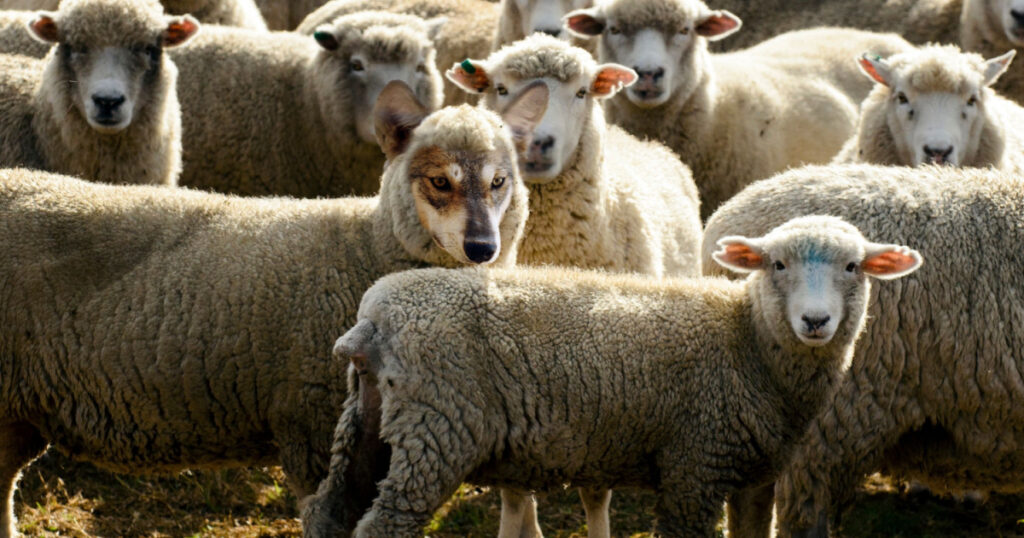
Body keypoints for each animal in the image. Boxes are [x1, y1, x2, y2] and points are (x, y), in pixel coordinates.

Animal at [0, 81, 546, 538]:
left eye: (500, 181)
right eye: (439, 181)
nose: (482, 247)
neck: (366, 247)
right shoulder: (314, 431)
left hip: (19, 410)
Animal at [299, 215, 922, 538]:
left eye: (852, 266)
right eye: (777, 264)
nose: (815, 321)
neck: (747, 341)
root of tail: (376, 314)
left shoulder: (755, 476)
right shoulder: (694, 465)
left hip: (370, 420)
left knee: (328, 510)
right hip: (436, 428)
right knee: (384, 525)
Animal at [447, 33, 701, 537]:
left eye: (582, 92)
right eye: (500, 88)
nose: (535, 142)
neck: (547, 249)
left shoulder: (610, 385)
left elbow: (595, 493)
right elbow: (513, 492)